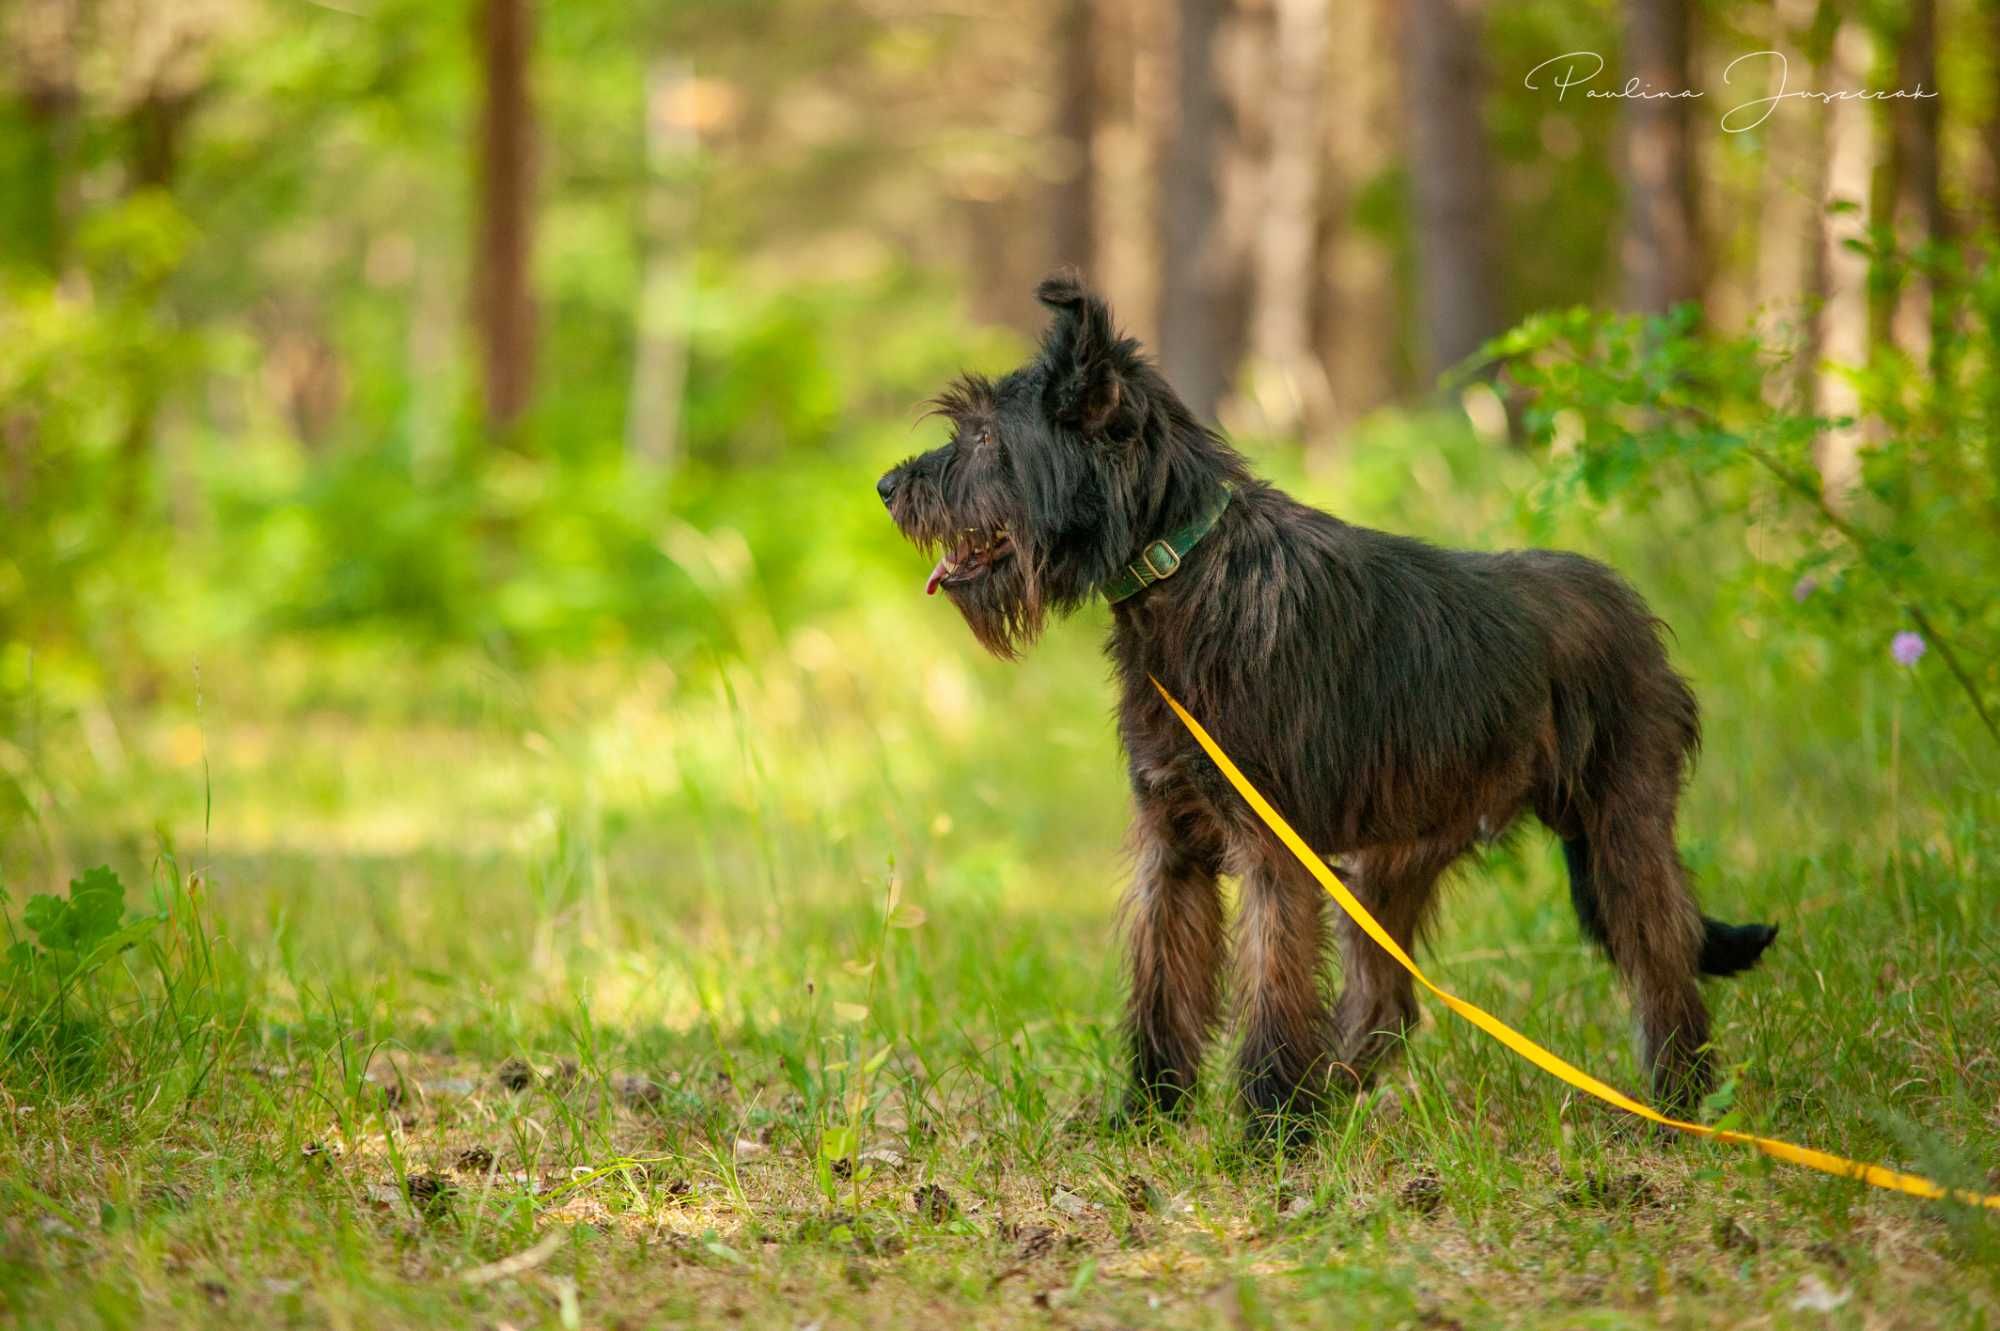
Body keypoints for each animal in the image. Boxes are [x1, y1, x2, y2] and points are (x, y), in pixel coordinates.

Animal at [880, 273, 1784, 1127]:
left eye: (985, 435)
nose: (890, 485)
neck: (1189, 570)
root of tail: (1633, 612)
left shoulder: (1273, 852)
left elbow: (1275, 989)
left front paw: (1272, 1126)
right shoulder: (1173, 851)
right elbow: (1164, 990)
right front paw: (1150, 1115)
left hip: (1619, 829)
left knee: (1663, 959)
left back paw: (1682, 1104)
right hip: (1392, 867)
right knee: (1388, 1001)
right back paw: (1339, 1092)